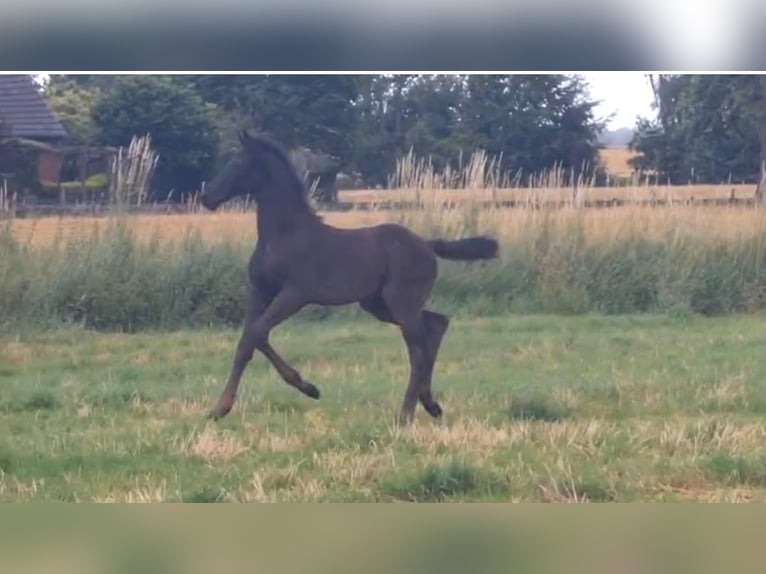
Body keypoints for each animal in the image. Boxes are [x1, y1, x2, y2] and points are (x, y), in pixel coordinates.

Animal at [200, 130, 499, 424]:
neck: (283, 235)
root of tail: (427, 245)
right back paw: (431, 405)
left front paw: (306, 389)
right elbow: (249, 340)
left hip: (401, 301)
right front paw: (222, 408)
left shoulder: (295, 294)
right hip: (379, 304)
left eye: (237, 163)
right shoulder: (260, 290)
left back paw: (405, 414)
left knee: (418, 349)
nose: (207, 197)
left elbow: (255, 334)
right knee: (436, 325)